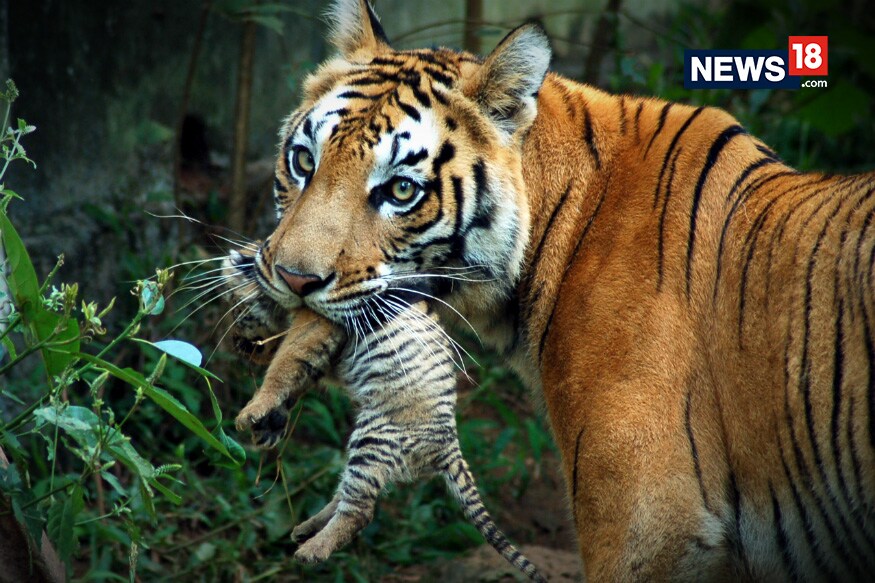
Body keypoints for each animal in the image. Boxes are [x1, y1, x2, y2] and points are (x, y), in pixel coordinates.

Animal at [223, 251, 545, 579]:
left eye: (237, 313)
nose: (241, 348)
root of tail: (449, 445)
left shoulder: (318, 327)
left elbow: (284, 367)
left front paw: (250, 414)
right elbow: (294, 381)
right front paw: (267, 428)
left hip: (373, 439)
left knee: (360, 512)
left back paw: (311, 551)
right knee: (348, 495)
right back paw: (306, 529)